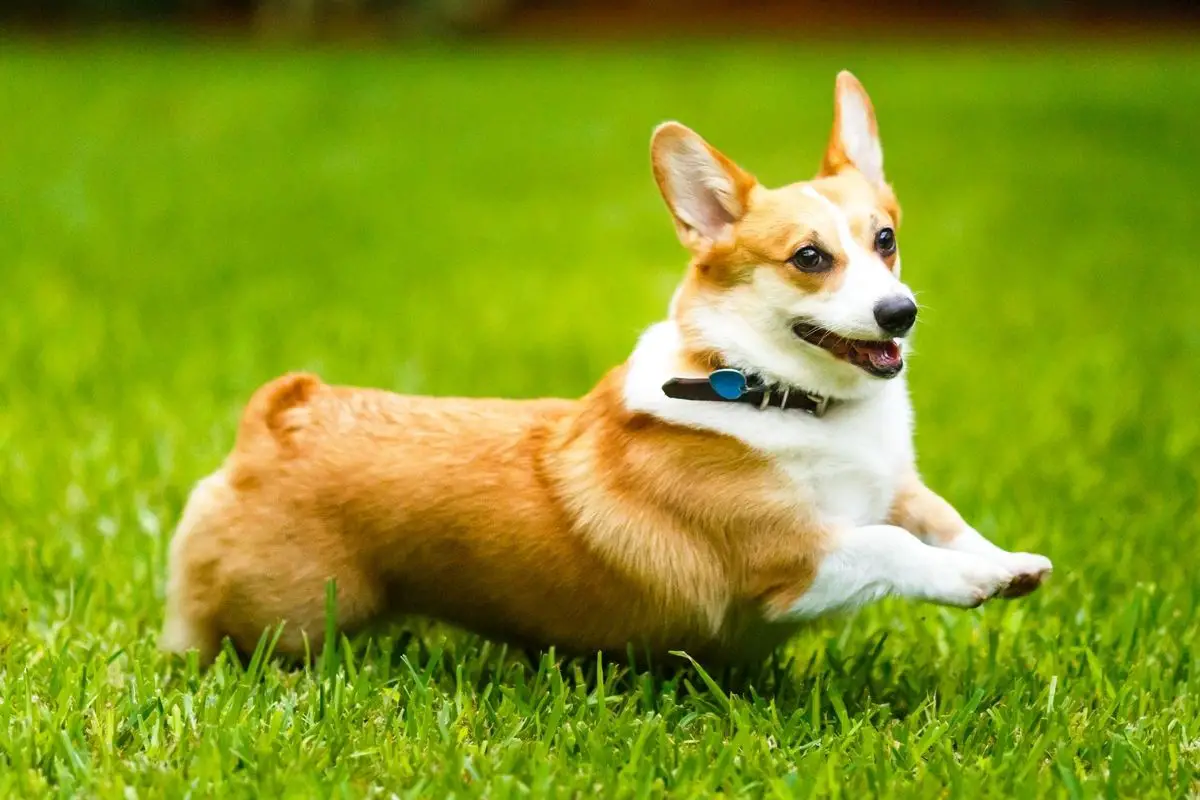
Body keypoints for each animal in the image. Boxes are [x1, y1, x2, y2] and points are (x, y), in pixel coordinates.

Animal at [162, 73, 1051, 662]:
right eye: (809, 258)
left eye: (885, 240)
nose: (899, 313)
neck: (779, 397)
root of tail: (279, 417)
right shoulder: (787, 562)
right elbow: (892, 546)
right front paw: (969, 581)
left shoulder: (894, 488)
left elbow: (941, 518)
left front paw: (1003, 565)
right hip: (288, 622)